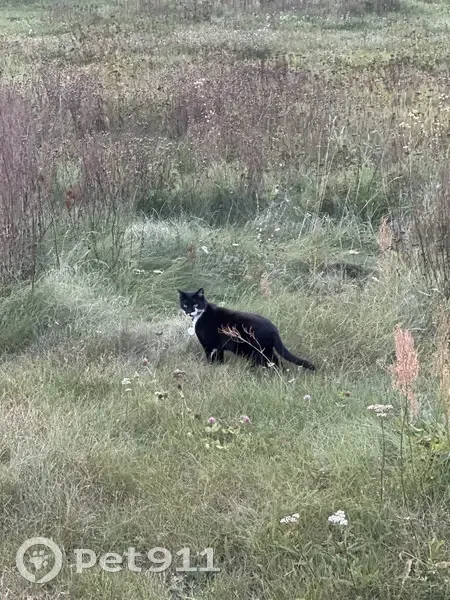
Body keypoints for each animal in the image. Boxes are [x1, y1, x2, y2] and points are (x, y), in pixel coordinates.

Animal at [178, 288, 315, 371]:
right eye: (185, 304)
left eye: (195, 304)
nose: (189, 311)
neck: (200, 315)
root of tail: (273, 329)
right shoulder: (219, 347)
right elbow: (220, 360)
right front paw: (218, 368)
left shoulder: (209, 346)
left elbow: (211, 359)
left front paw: (211, 368)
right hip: (266, 350)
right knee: (276, 362)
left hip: (256, 350)